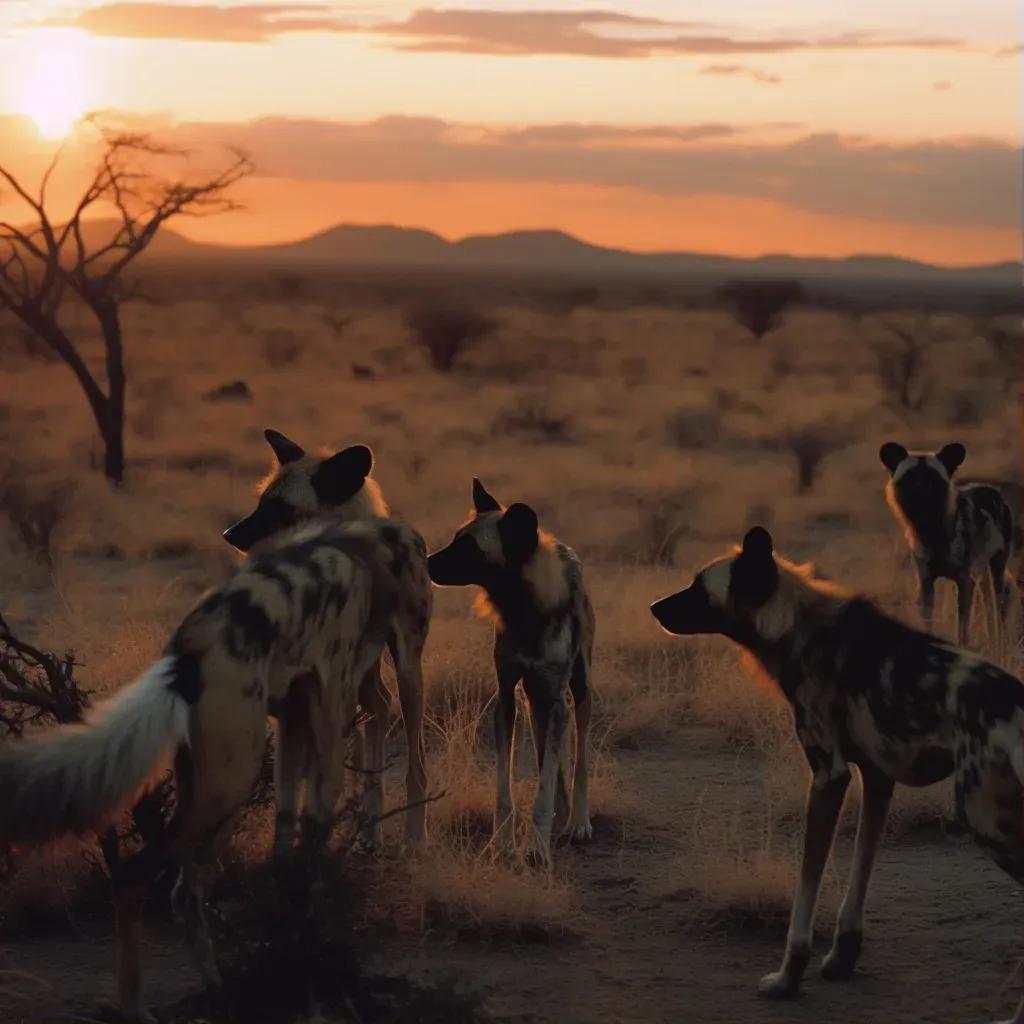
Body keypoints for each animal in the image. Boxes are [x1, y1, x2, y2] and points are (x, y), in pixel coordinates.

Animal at [0, 520, 403, 1024]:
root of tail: (186, 657)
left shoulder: (294, 723)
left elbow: (288, 838)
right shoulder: (330, 719)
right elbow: (315, 846)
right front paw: (309, 948)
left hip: (211, 790)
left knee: (185, 894)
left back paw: (219, 995)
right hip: (230, 784)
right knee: (136, 879)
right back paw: (138, 1007)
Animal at [222, 428, 430, 851]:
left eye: (281, 508)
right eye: (261, 502)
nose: (230, 534)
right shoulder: (296, 703)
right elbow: (293, 792)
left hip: (408, 674)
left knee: (415, 763)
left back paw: (412, 839)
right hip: (365, 679)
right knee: (378, 709)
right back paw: (370, 829)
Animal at [425, 477, 598, 864]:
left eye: (468, 548)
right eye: (456, 538)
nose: (425, 562)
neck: (523, 611)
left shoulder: (559, 702)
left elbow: (545, 786)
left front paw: (536, 848)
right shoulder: (505, 699)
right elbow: (506, 788)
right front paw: (502, 843)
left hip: (577, 692)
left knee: (577, 758)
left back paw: (577, 821)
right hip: (535, 699)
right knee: (548, 755)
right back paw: (561, 815)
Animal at [880, 440, 1015, 647]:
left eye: (932, 477)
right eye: (910, 476)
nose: (920, 488)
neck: (933, 533)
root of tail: (994, 490)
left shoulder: (964, 581)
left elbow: (962, 628)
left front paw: (962, 648)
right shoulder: (926, 581)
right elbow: (928, 621)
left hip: (996, 567)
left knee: (999, 601)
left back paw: (1000, 643)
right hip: (981, 571)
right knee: (988, 603)